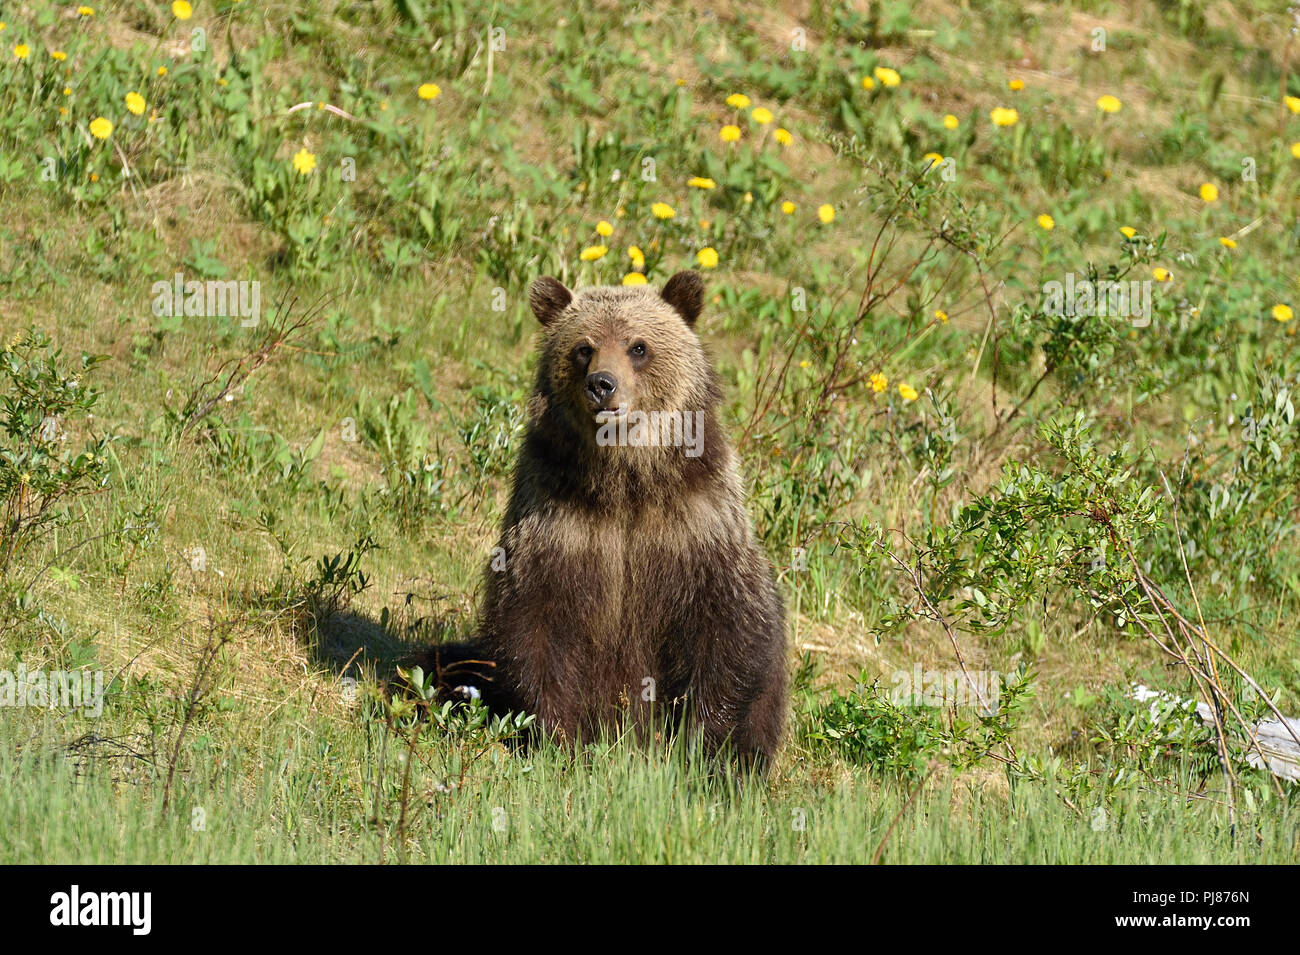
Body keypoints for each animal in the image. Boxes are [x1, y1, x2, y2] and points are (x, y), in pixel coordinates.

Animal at [421, 272, 785, 764]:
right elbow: (531, 622)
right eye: (583, 347)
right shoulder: (557, 521)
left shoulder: (698, 525)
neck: (623, 484)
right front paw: (558, 738)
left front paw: (702, 750)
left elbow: (729, 629)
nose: (602, 384)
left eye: (638, 346)